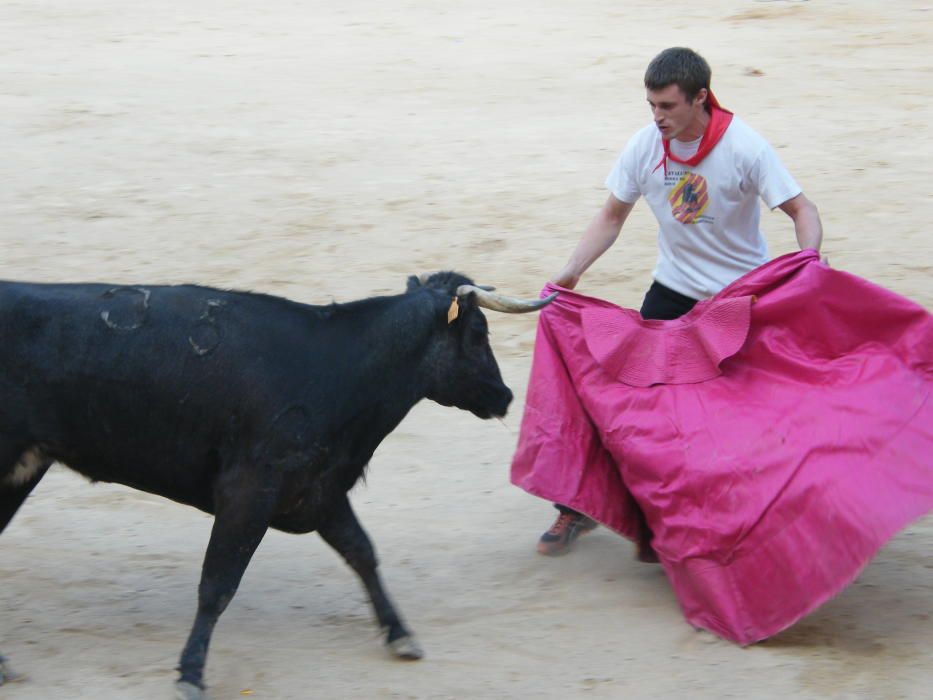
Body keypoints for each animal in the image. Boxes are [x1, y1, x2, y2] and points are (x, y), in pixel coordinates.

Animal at [0, 270, 552, 696]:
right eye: (477, 332)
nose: (504, 395)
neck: (341, 366)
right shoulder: (249, 494)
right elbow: (217, 585)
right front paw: (190, 672)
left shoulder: (319, 491)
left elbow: (363, 553)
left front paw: (400, 634)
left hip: (20, 471)